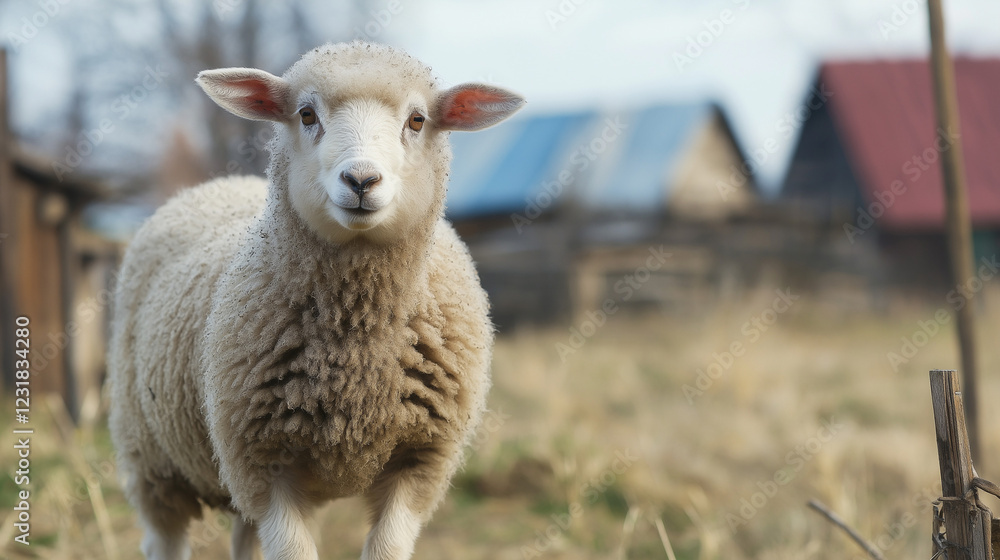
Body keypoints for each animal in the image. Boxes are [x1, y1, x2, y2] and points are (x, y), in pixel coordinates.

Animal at [107, 41, 524, 560]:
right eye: (306, 114)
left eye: (417, 120)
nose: (361, 180)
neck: (357, 347)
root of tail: (215, 185)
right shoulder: (263, 462)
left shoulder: (421, 460)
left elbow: (386, 548)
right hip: (150, 458)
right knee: (164, 535)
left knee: (245, 539)